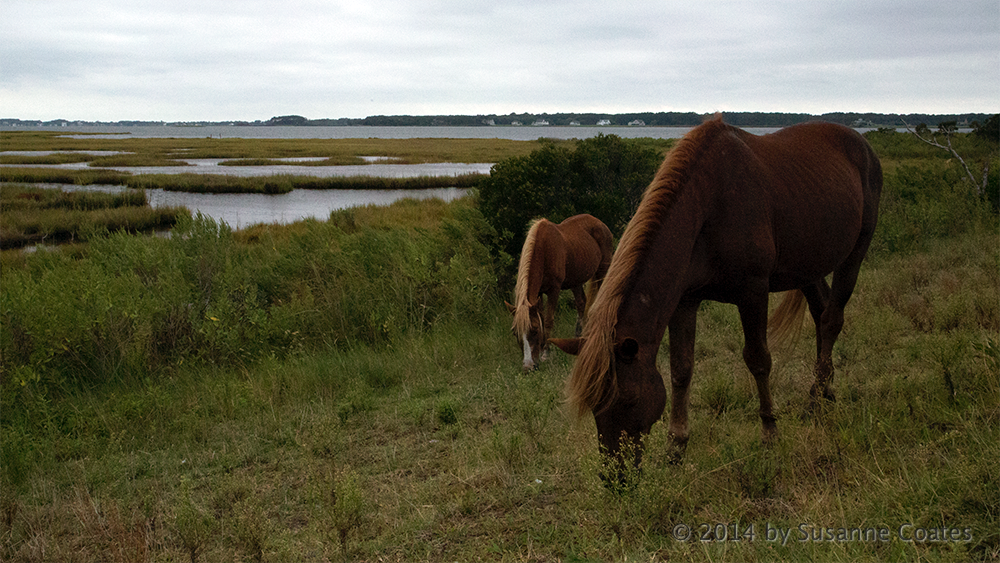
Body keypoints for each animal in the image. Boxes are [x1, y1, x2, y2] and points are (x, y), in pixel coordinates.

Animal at [504, 214, 612, 372]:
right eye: (515, 332)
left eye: (534, 330)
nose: (528, 367)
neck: (544, 250)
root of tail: (599, 222)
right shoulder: (538, 294)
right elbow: (542, 317)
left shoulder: (554, 290)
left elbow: (549, 320)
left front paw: (546, 353)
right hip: (576, 280)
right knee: (581, 303)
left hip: (603, 270)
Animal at [548, 118, 884, 484]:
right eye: (594, 404)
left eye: (629, 399)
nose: (615, 479)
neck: (708, 207)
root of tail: (862, 144)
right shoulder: (685, 301)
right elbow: (681, 370)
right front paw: (675, 449)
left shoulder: (753, 292)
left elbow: (758, 360)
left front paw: (769, 434)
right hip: (807, 266)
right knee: (821, 311)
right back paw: (825, 390)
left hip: (855, 251)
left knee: (832, 319)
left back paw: (815, 400)